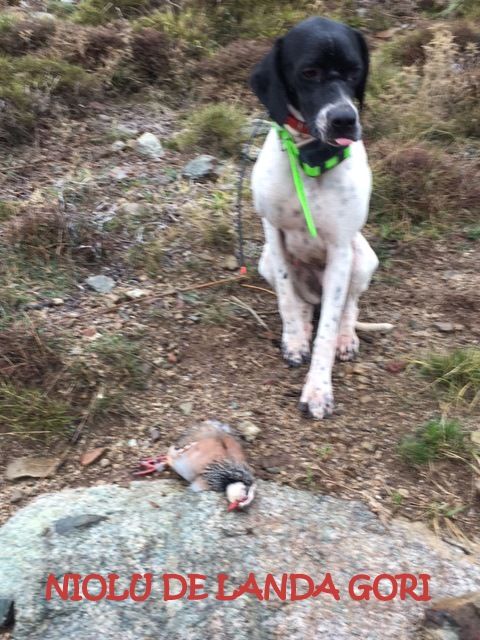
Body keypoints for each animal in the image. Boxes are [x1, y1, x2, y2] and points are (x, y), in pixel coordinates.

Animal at [249, 17, 388, 418]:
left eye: (355, 71)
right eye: (309, 72)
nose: (345, 119)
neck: (310, 158)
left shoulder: (341, 250)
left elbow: (330, 324)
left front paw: (318, 390)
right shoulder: (273, 233)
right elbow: (285, 297)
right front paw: (295, 340)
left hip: (363, 258)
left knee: (346, 307)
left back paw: (346, 336)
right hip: (265, 260)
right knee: (302, 302)